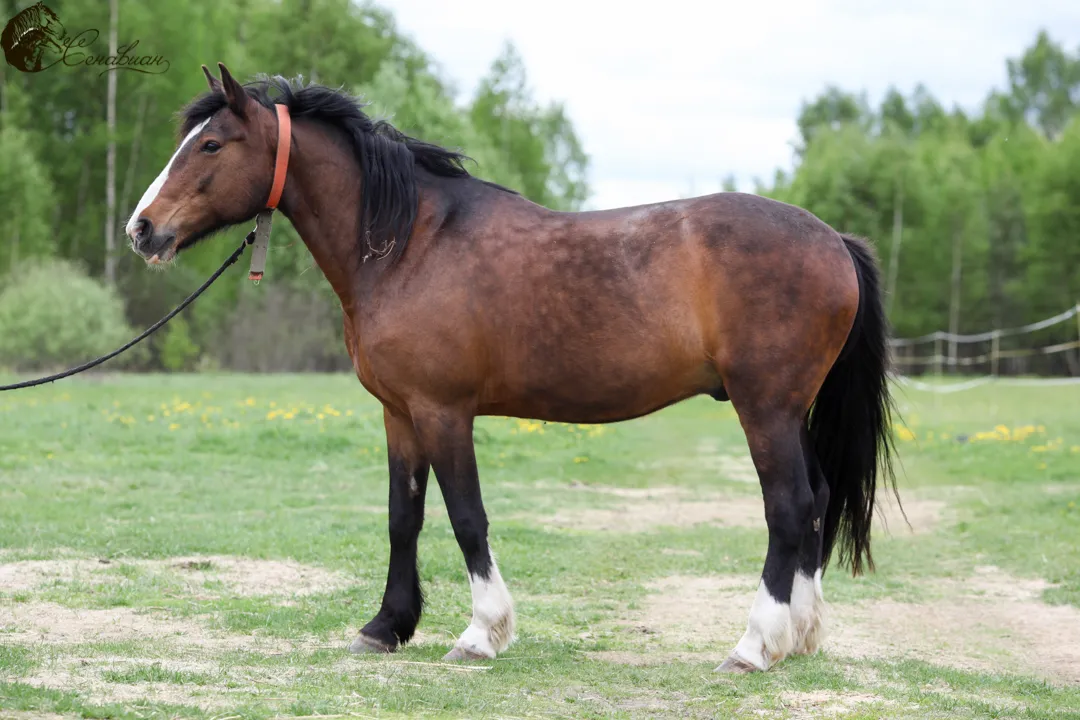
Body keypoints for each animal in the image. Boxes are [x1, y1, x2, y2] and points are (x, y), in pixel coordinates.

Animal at [126, 63, 896, 673]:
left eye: (211, 144)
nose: (142, 228)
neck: (409, 244)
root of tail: (834, 240)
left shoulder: (443, 411)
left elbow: (467, 516)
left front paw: (481, 633)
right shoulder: (399, 412)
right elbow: (403, 517)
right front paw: (387, 626)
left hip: (763, 407)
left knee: (788, 506)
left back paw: (755, 645)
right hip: (788, 411)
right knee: (818, 498)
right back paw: (801, 635)